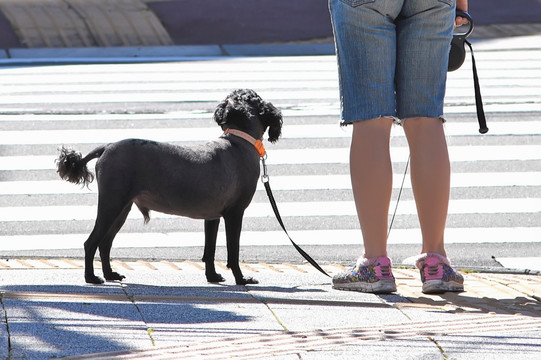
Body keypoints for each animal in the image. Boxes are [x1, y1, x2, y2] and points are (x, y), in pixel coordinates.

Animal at [56, 89, 280, 284]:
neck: (239, 139)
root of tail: (107, 147)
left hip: (121, 208)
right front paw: (241, 279)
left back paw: (110, 274)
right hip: (112, 204)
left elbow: (209, 250)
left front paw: (212, 276)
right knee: (91, 242)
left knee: (105, 243)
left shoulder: (212, 216)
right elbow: (233, 252)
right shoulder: (235, 214)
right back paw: (91, 277)